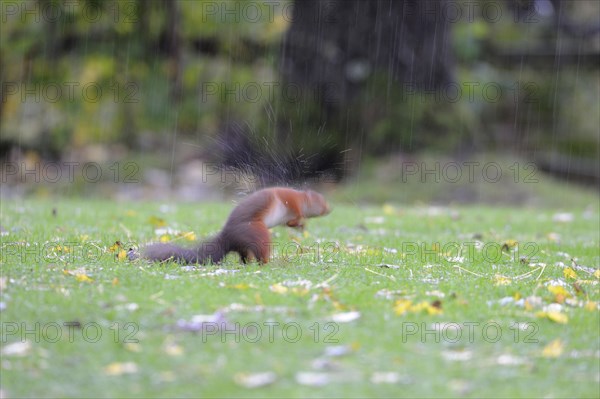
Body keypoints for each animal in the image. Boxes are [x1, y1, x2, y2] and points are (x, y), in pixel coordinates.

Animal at [139, 188, 330, 266]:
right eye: (322, 201)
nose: (330, 209)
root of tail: (227, 236)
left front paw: (300, 226)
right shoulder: (292, 202)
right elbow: (294, 217)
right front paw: (301, 224)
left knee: (244, 255)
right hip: (258, 233)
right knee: (261, 255)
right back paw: (271, 263)